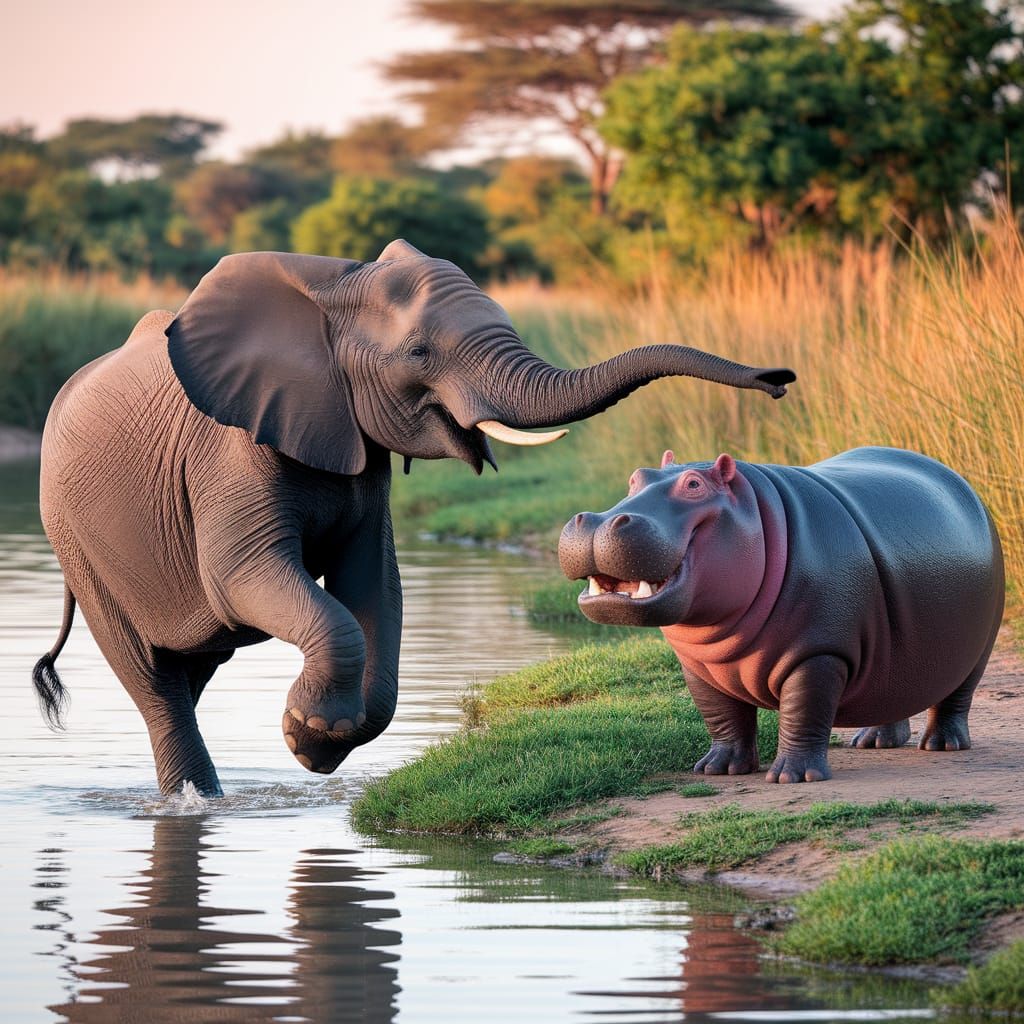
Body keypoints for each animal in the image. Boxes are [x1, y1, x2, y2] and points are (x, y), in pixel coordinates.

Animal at [32, 240, 795, 796]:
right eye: (421, 354)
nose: (779, 379)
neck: (332, 290)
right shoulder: (230, 450)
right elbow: (248, 578)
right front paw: (307, 732)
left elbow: (375, 584)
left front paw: (318, 745)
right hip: (75, 540)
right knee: (154, 677)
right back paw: (193, 801)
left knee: (192, 669)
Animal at [558, 447, 1004, 783]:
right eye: (636, 477)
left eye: (694, 485)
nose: (595, 521)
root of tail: (957, 478)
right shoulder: (698, 666)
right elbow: (721, 715)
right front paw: (716, 770)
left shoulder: (819, 653)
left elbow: (803, 710)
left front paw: (792, 777)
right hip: (899, 657)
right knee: (897, 690)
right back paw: (873, 741)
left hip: (980, 646)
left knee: (956, 696)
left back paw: (942, 745)